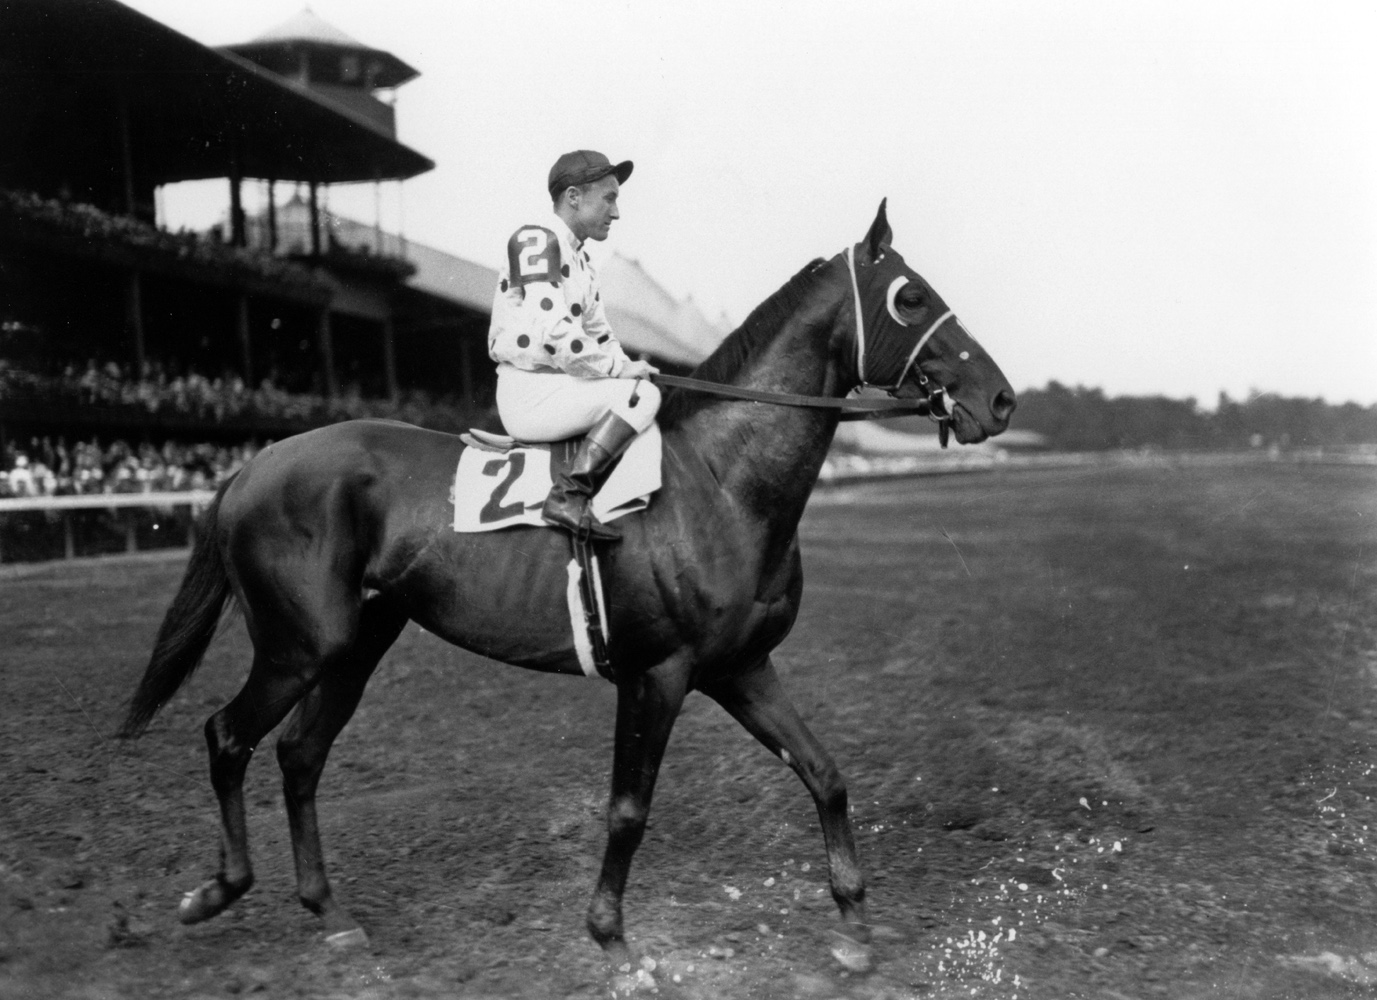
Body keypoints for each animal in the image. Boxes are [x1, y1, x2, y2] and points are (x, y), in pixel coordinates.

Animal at [121, 203, 1013, 986]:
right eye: (910, 296)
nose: (999, 398)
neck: (718, 481)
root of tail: (252, 466)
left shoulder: (740, 667)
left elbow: (825, 774)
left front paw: (855, 929)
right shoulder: (658, 673)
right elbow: (627, 809)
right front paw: (612, 941)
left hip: (356, 643)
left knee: (299, 754)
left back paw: (331, 913)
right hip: (298, 644)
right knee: (227, 736)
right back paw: (217, 890)